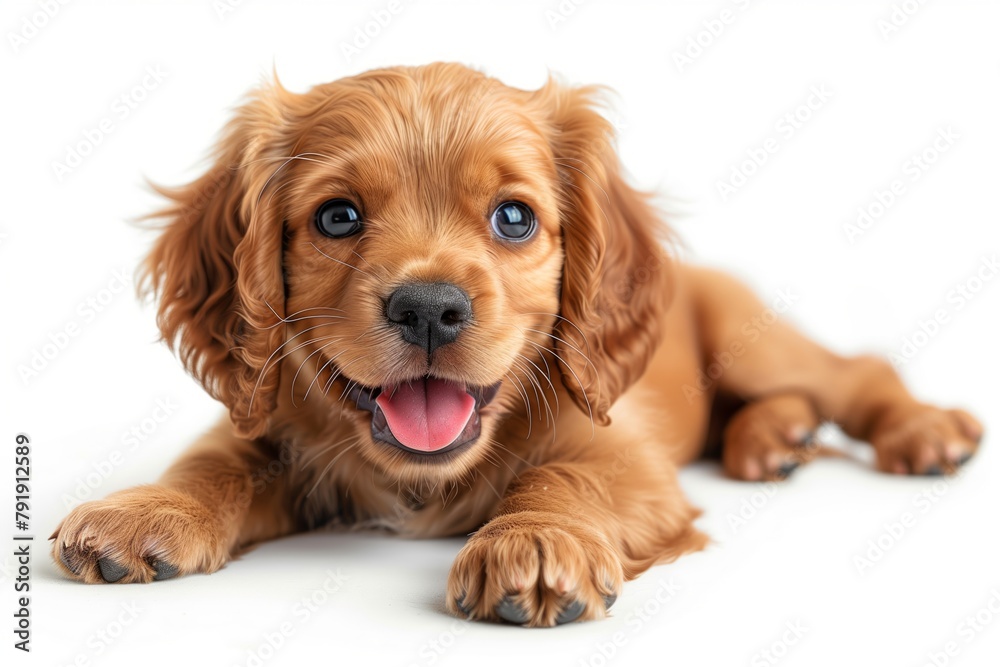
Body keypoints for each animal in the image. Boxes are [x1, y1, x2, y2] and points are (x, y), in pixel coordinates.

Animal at [50, 62, 980, 628]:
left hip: (755, 339)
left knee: (855, 371)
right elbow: (215, 461)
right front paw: (146, 509)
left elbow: (560, 476)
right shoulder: (266, 419)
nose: (429, 308)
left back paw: (920, 430)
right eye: (338, 216)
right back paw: (774, 439)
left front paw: (533, 541)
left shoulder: (624, 453)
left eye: (514, 217)